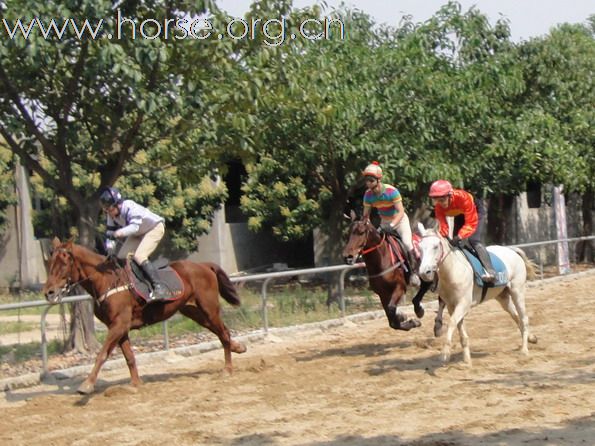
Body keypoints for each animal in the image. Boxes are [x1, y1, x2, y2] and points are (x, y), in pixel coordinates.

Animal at [42, 237, 247, 394]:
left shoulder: (118, 325)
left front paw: (87, 384)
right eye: (49, 263)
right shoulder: (120, 328)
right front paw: (135, 384)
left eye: (64, 263)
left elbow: (102, 354)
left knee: (223, 333)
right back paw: (238, 347)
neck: (106, 281)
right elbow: (129, 357)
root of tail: (204, 265)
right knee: (222, 331)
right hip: (194, 311)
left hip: (209, 309)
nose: (48, 293)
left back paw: (228, 369)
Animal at [416, 223, 536, 366]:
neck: (454, 270)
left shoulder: (463, 304)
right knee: (516, 317)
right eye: (420, 247)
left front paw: (445, 353)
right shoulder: (452, 306)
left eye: (435, 246)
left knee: (524, 318)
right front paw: (467, 360)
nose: (424, 272)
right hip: (503, 297)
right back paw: (531, 338)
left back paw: (524, 351)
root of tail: (512, 251)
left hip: (517, 291)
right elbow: (460, 330)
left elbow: (452, 323)